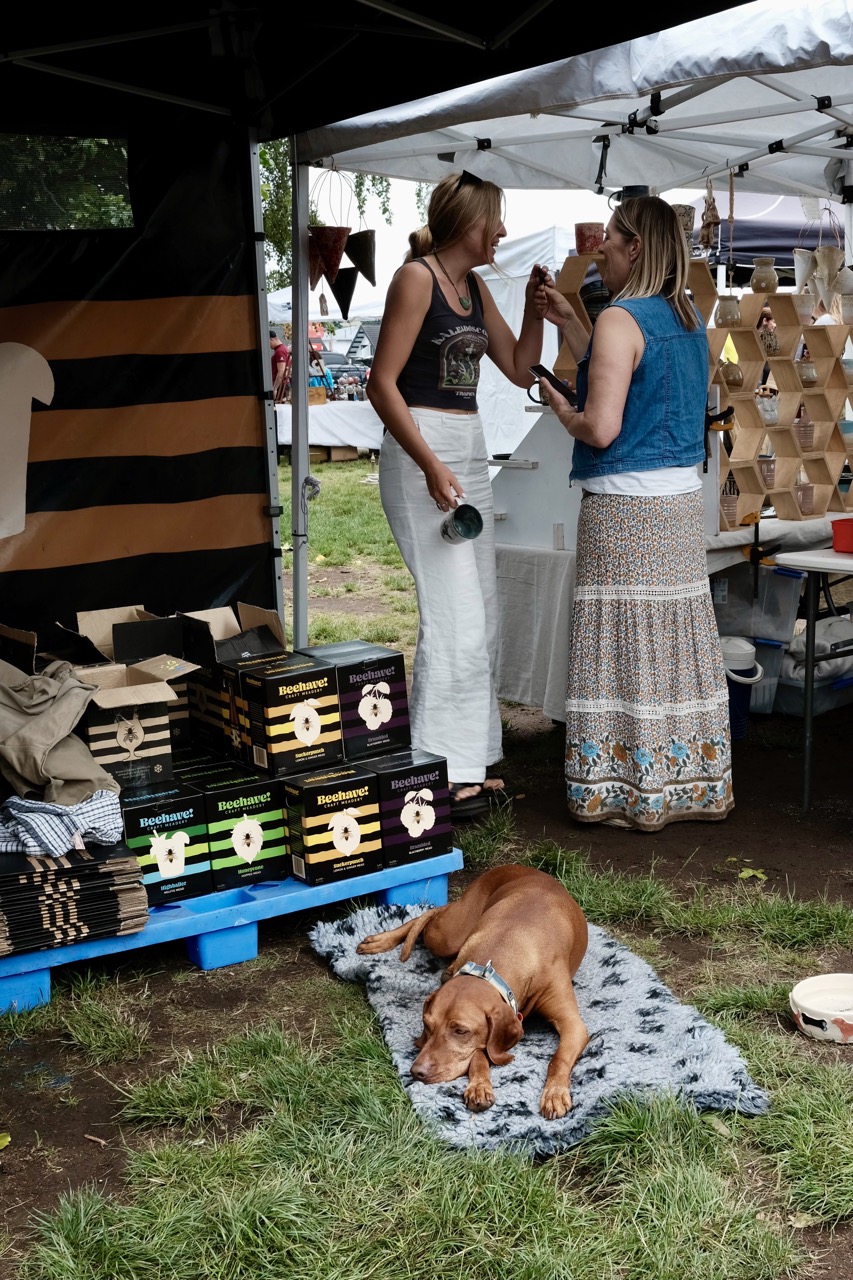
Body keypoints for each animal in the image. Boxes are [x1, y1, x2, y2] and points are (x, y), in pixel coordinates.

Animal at [356, 864, 589, 1118]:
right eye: (427, 1024)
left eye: (460, 1031)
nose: (416, 1071)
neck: (508, 944)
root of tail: (516, 866)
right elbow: (478, 1053)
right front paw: (479, 1087)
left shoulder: (573, 1024)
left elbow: (558, 1058)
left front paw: (555, 1093)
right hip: (449, 936)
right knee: (430, 913)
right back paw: (380, 941)